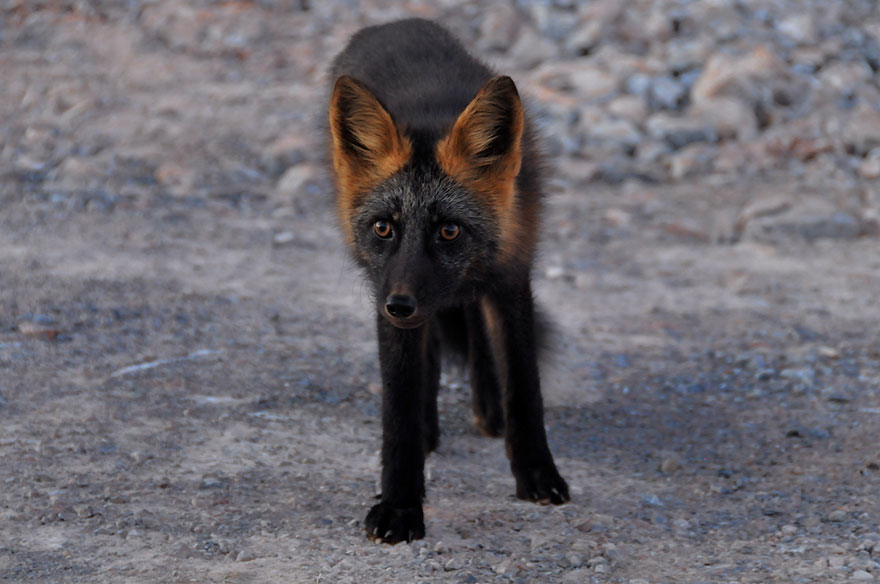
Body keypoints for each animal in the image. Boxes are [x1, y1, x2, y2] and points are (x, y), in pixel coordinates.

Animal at [327, 18, 569, 544]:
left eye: (449, 230)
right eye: (384, 228)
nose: (399, 306)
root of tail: (396, 23)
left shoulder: (511, 277)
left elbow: (525, 388)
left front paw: (537, 474)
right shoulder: (388, 297)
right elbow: (398, 410)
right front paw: (399, 504)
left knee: (474, 329)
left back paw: (488, 410)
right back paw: (431, 430)